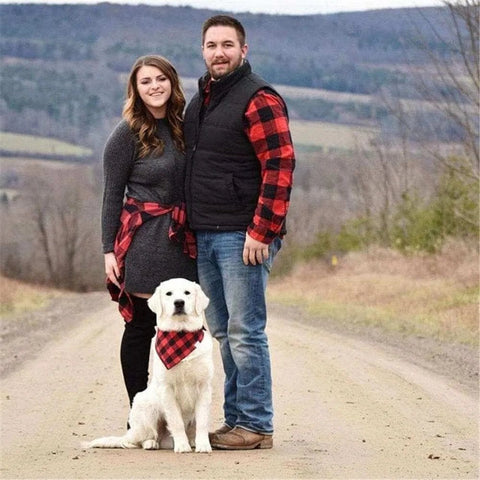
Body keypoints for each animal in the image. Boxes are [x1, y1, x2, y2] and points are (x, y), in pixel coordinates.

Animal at [83, 280, 214, 452]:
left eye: (187, 292)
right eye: (169, 293)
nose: (179, 303)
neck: (181, 333)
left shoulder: (204, 387)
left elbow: (203, 422)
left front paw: (203, 445)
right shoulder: (167, 389)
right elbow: (176, 421)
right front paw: (181, 446)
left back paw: (191, 441)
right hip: (145, 407)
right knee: (139, 439)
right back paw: (151, 443)